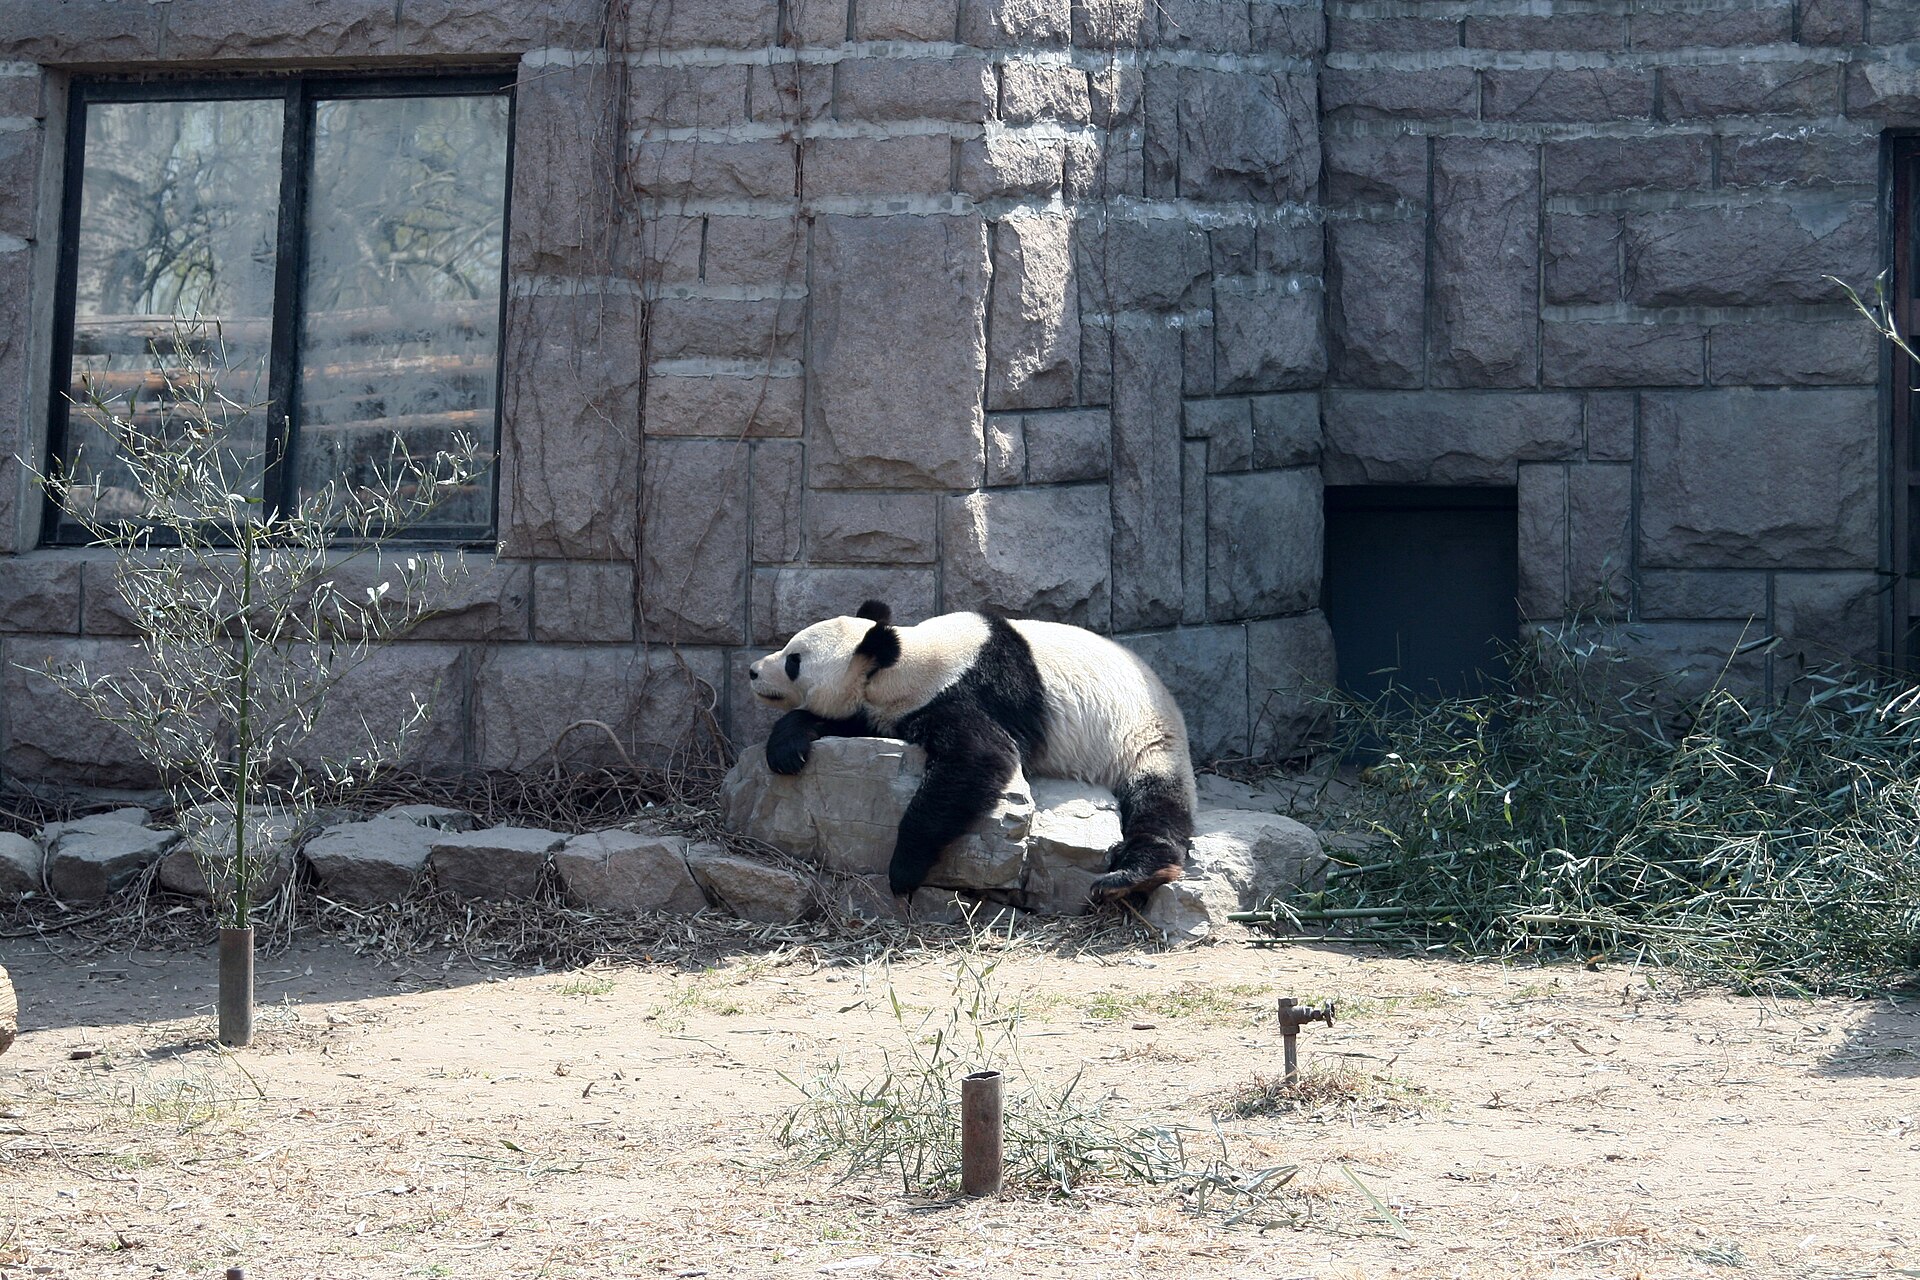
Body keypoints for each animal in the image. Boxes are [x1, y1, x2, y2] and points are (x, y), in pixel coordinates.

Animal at [746, 600, 1196, 903]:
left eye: (793, 661)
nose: (752, 671)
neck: (905, 658)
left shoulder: (967, 692)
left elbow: (979, 759)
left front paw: (903, 870)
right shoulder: (890, 708)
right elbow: (850, 722)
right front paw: (787, 748)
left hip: (1144, 739)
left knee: (1157, 803)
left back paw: (1133, 875)